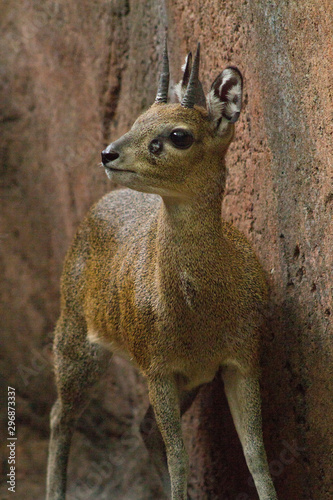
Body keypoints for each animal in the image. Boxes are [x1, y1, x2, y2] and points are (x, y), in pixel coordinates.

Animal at [45, 40, 276, 500]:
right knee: (61, 416)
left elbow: (256, 457)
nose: (108, 153)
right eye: (136, 120)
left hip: (189, 380)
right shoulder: (158, 367)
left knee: (144, 428)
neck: (203, 314)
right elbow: (181, 460)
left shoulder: (241, 358)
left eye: (178, 135)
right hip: (75, 338)